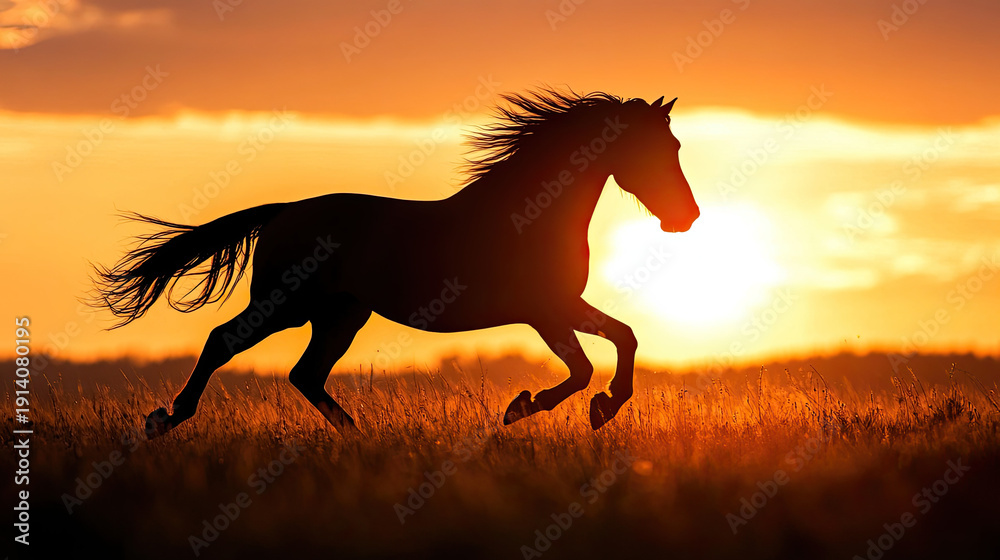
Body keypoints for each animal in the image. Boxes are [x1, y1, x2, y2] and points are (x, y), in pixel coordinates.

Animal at [92, 89, 699, 439]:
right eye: (658, 150)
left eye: (674, 148)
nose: (687, 218)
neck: (533, 211)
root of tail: (283, 212)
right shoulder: (544, 309)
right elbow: (583, 368)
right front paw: (525, 407)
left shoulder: (560, 305)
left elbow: (624, 339)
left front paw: (602, 408)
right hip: (286, 305)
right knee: (224, 341)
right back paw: (165, 419)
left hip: (340, 315)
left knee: (305, 373)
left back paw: (360, 438)